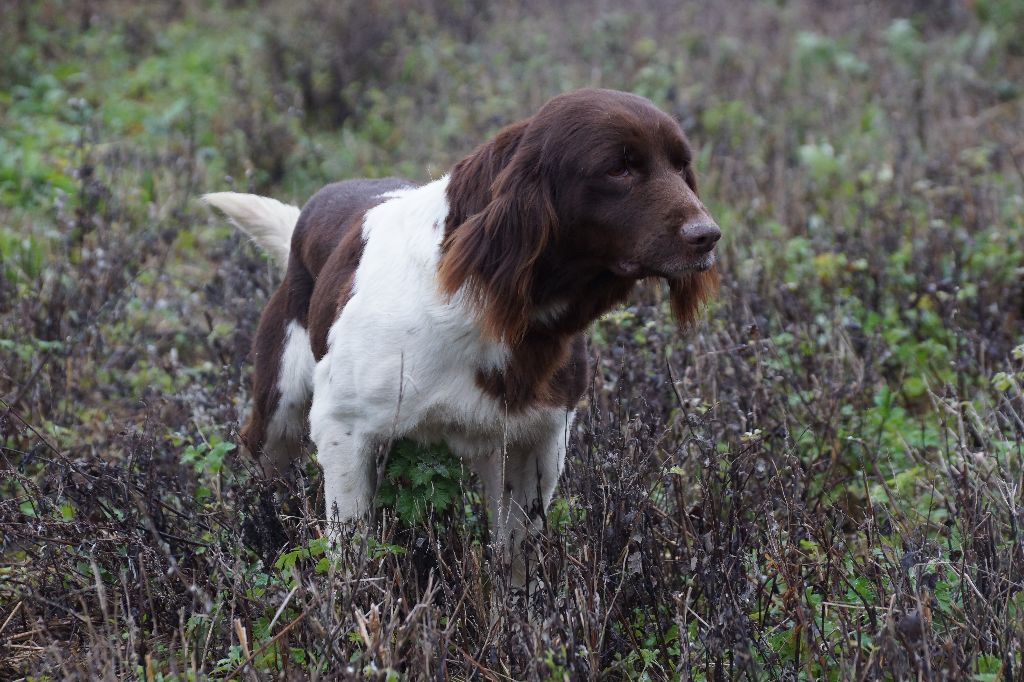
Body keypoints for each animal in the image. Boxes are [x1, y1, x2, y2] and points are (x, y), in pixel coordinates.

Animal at [203, 89, 720, 577]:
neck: (493, 300)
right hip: (279, 417)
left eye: (682, 166)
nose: (708, 235)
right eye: (618, 168)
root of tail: (308, 213)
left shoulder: (536, 443)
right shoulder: (343, 427)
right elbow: (351, 558)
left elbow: (516, 562)